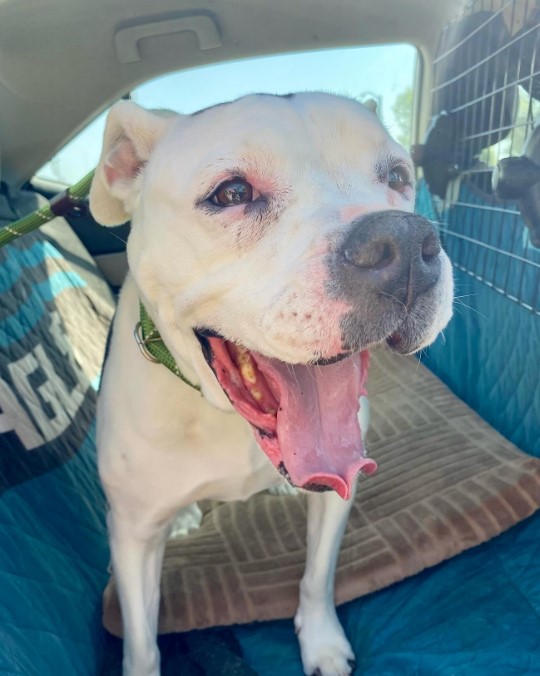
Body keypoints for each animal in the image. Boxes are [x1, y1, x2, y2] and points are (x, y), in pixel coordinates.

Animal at [90, 93, 454, 676]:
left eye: (398, 176)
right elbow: (142, 645)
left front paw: (322, 643)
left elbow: (317, 578)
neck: (224, 418)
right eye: (232, 193)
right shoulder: (132, 538)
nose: (402, 241)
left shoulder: (337, 497)